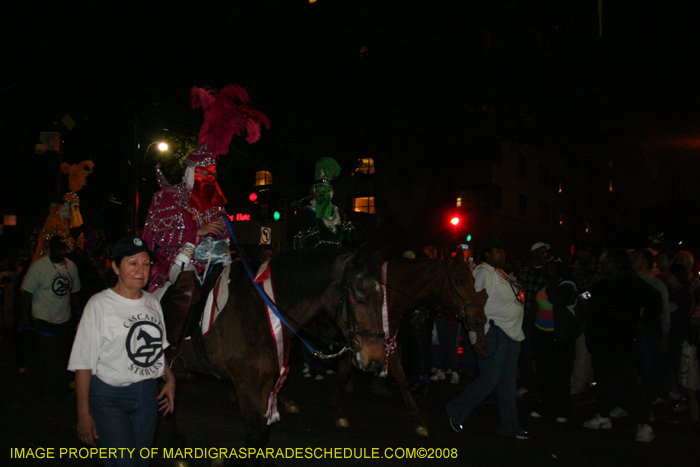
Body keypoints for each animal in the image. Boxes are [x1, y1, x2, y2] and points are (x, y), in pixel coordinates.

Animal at [173, 247, 386, 466]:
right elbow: (255, 435)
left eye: (382, 299)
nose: (375, 360)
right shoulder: (246, 383)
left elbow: (262, 434)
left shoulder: (265, 380)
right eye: (360, 300)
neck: (256, 310)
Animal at [330, 250, 486, 436]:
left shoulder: (387, 339)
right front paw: (337, 411)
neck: (389, 293)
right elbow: (342, 374)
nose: (479, 319)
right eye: (459, 280)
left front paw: (417, 419)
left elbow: (401, 377)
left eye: (473, 280)